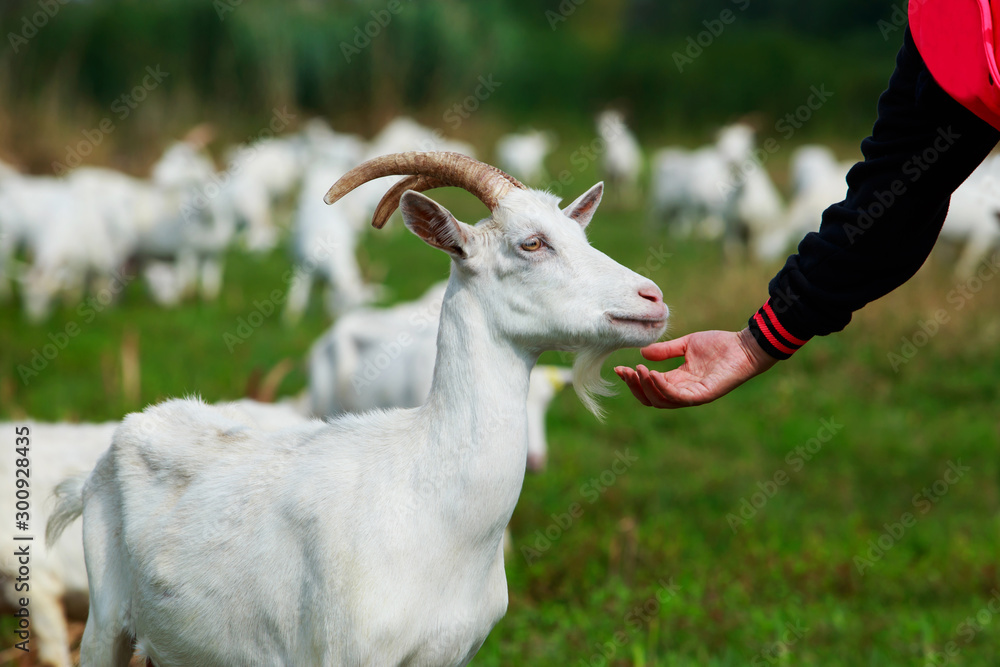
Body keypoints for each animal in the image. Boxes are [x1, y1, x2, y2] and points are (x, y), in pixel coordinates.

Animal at [51, 152, 667, 666]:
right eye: (531, 244)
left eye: (578, 234)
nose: (653, 298)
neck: (434, 503)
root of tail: (116, 445)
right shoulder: (347, 649)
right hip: (106, 620)